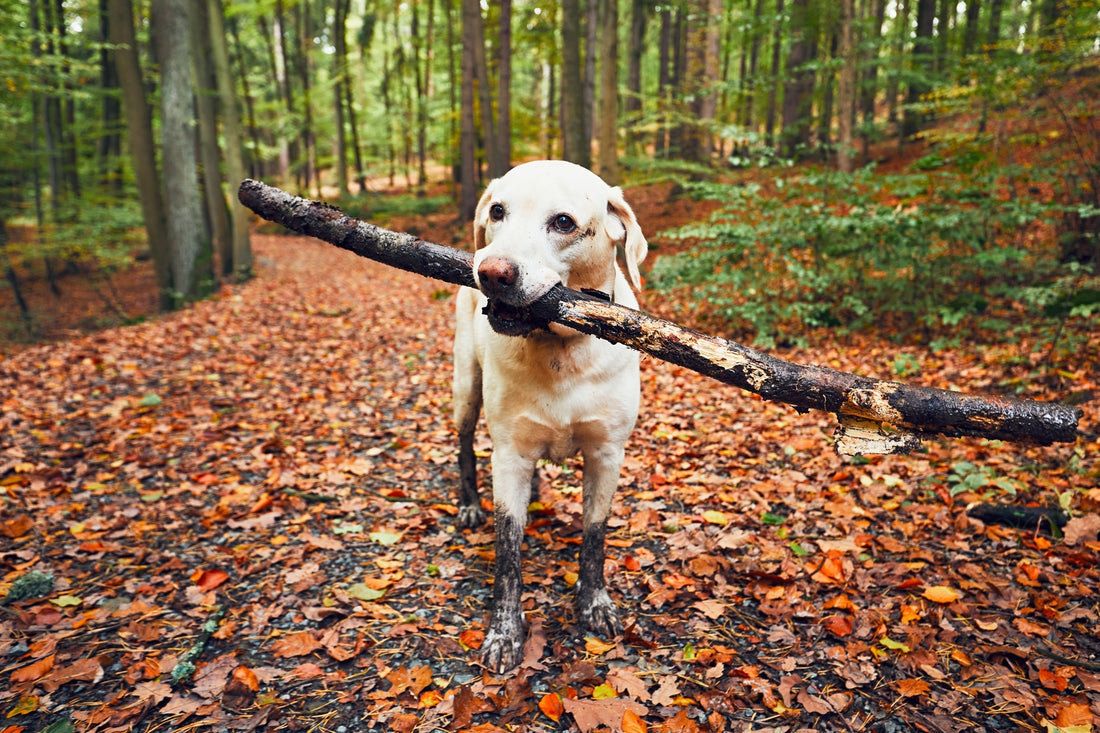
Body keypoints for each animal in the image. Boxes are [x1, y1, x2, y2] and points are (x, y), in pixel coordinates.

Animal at [453, 159, 646, 669]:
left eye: (563, 222)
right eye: (497, 211)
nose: (491, 271)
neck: (560, 349)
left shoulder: (607, 454)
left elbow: (595, 537)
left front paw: (594, 604)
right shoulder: (509, 457)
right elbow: (507, 552)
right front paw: (504, 632)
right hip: (465, 389)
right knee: (464, 446)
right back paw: (469, 504)